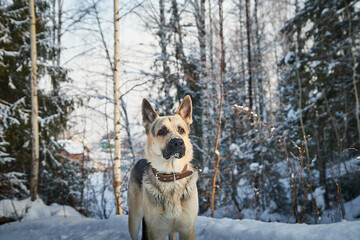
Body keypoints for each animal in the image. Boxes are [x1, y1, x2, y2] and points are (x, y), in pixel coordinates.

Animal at [128, 95, 198, 240]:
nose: (178, 142)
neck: (172, 175)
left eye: (181, 130)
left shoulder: (187, 230)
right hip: (134, 219)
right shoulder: (156, 232)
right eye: (162, 131)